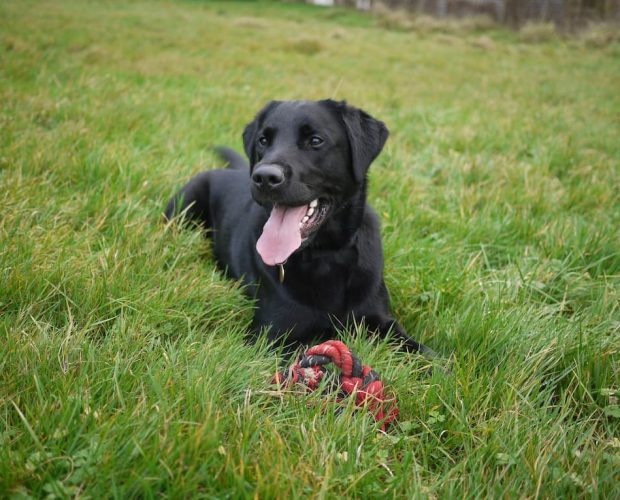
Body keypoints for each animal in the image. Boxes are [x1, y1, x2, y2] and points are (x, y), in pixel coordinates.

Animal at [166, 98, 436, 356]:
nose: (264, 177)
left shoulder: (381, 321)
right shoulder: (269, 336)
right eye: (263, 140)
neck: (326, 255)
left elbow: (427, 355)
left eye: (315, 140)